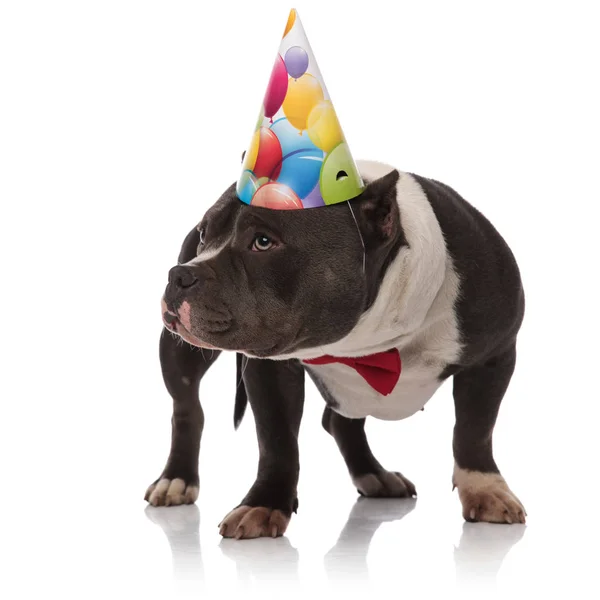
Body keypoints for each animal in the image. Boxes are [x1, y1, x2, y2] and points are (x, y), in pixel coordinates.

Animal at [145, 159, 524, 540]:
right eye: (203, 233)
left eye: (263, 242)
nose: (180, 275)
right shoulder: (269, 368)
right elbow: (276, 441)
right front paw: (264, 503)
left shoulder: (495, 356)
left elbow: (474, 430)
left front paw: (485, 490)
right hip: (179, 356)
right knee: (187, 408)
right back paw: (175, 479)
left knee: (340, 421)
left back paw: (374, 475)